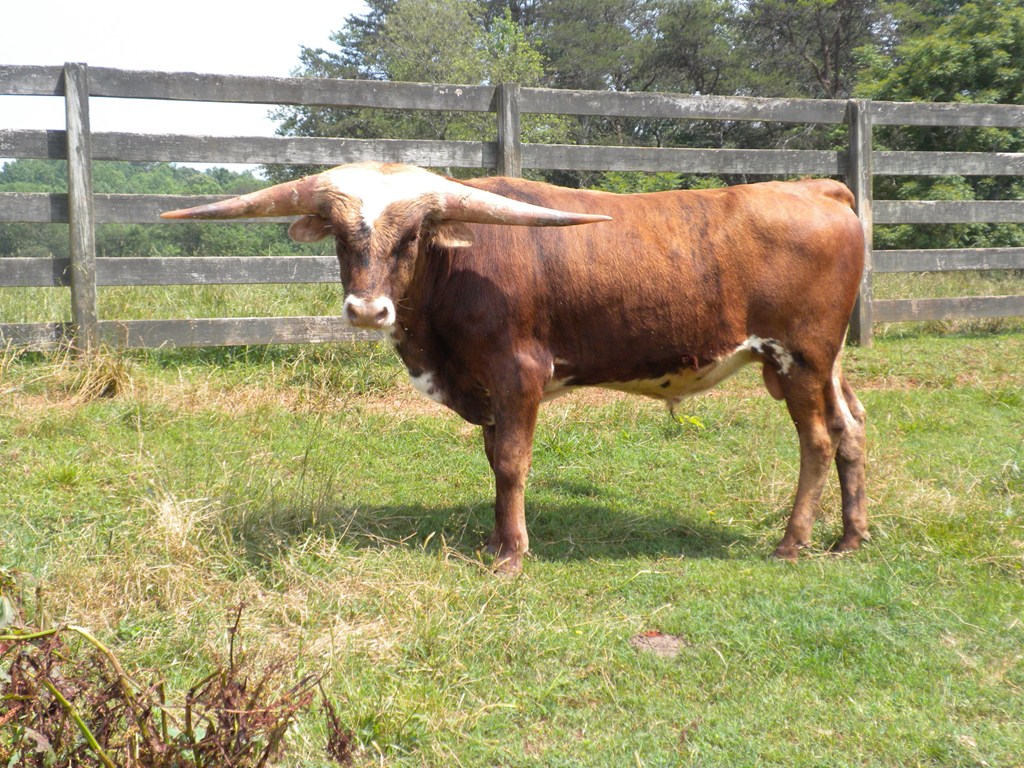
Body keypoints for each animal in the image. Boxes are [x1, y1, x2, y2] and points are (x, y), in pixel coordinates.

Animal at [161, 161, 868, 574]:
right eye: (338, 234)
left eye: (411, 236)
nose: (366, 309)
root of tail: (817, 188)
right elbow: (492, 458)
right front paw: (497, 538)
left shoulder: (518, 375)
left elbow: (509, 462)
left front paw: (511, 554)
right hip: (824, 363)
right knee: (850, 430)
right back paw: (850, 537)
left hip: (800, 358)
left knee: (816, 440)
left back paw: (793, 542)